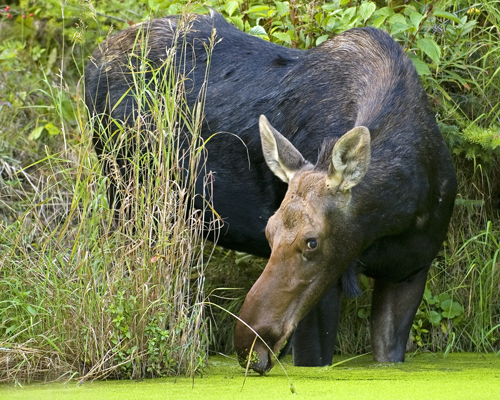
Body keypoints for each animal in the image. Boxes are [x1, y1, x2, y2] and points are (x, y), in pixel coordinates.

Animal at [86, 11, 458, 376]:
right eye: (268, 231)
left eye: (312, 241)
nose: (250, 345)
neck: (400, 211)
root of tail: (91, 65)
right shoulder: (326, 293)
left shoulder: (410, 272)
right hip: (129, 202)